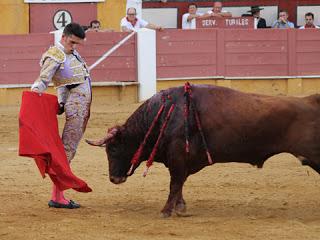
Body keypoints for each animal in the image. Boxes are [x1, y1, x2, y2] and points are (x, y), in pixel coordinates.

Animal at [86, 84, 320, 218]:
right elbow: (179, 184)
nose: (114, 179)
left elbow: (174, 184)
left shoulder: (177, 157)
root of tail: (311, 100)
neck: (164, 115)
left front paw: (166, 211)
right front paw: (180, 208)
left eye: (113, 149)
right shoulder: (181, 161)